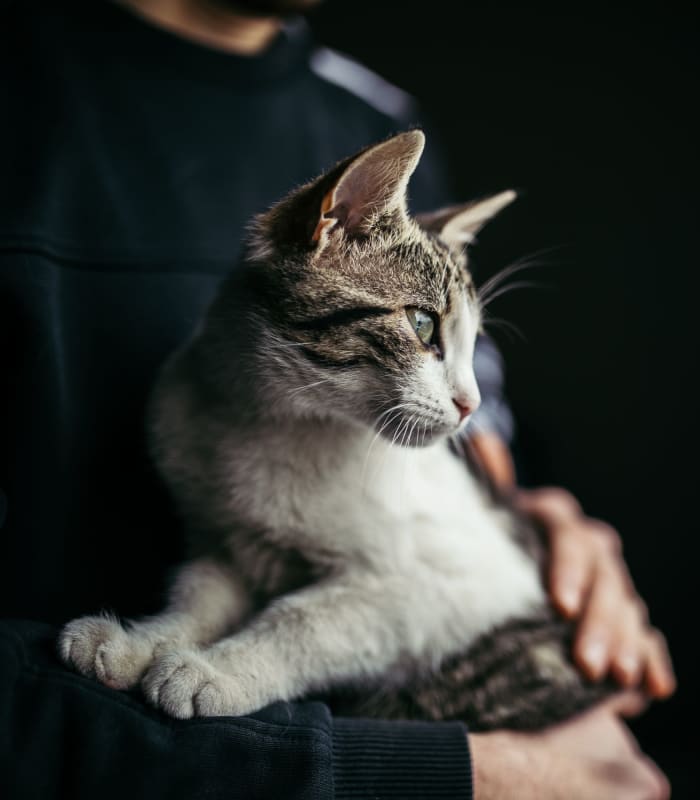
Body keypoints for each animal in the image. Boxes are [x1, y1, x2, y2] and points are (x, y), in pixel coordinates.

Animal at [58, 126, 612, 732]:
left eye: (473, 343)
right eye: (423, 324)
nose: (472, 404)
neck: (273, 425)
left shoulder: (450, 587)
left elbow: (308, 620)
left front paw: (217, 672)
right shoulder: (224, 541)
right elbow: (197, 595)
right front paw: (139, 642)